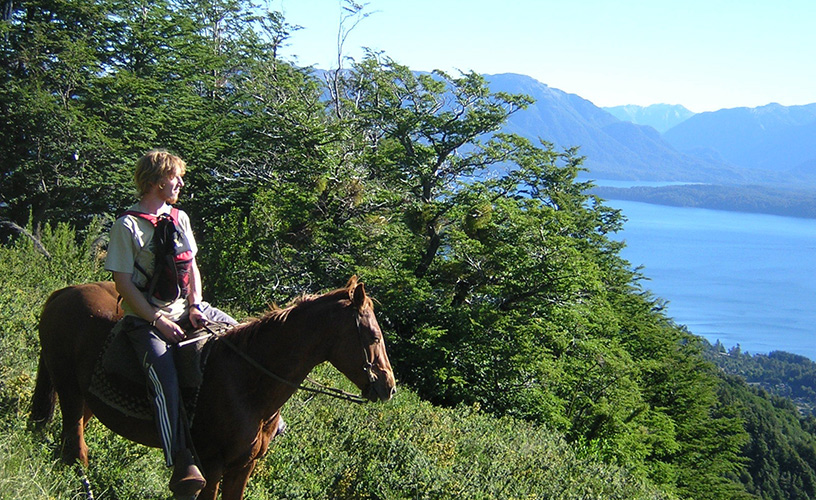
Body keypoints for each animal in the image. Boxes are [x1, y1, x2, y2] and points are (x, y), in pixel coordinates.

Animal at [30, 277, 396, 500]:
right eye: (372, 336)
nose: (388, 387)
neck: (249, 384)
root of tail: (64, 292)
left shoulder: (243, 466)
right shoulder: (212, 462)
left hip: (87, 400)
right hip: (69, 391)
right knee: (75, 451)